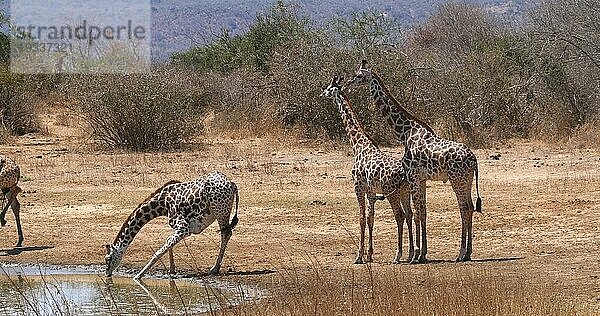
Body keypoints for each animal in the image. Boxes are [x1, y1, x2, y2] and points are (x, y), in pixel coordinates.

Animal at [105, 170, 239, 278]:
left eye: (108, 258)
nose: (107, 274)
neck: (163, 204)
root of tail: (232, 184)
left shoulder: (184, 227)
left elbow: (160, 250)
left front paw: (138, 276)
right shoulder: (180, 228)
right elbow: (168, 242)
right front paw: (172, 270)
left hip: (220, 212)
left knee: (226, 234)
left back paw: (214, 269)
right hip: (223, 212)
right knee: (226, 233)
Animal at [322, 75, 414, 262]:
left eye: (328, 88)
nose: (322, 94)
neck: (358, 145)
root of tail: (405, 173)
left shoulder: (358, 187)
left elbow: (361, 218)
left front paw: (359, 256)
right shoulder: (371, 191)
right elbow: (371, 218)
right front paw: (370, 254)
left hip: (391, 193)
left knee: (400, 216)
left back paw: (397, 255)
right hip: (404, 192)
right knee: (409, 215)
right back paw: (410, 254)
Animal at [346, 60, 482, 262]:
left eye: (360, 76)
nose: (347, 84)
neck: (404, 132)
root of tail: (473, 159)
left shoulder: (412, 176)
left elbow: (416, 213)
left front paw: (415, 255)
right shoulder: (421, 179)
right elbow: (422, 212)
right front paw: (422, 253)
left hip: (457, 179)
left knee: (464, 207)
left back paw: (461, 253)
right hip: (467, 179)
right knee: (470, 207)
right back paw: (468, 253)